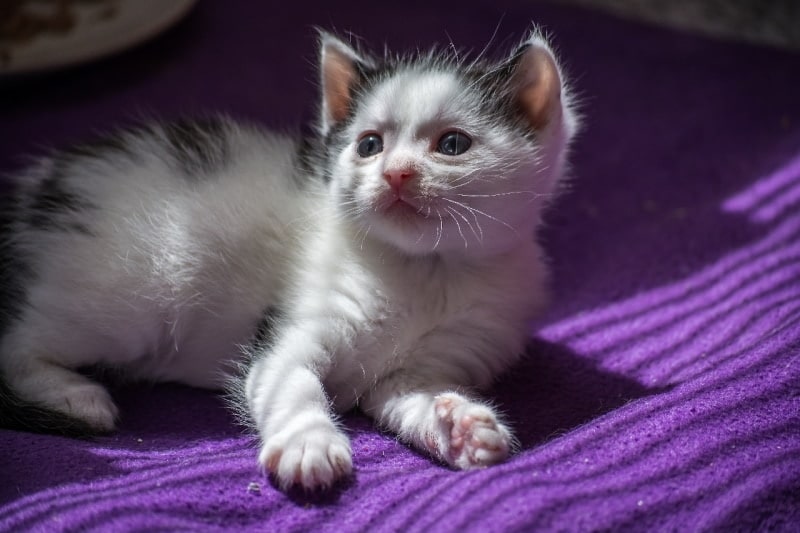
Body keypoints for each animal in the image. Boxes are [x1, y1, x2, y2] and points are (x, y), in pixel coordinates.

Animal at [0, 29, 576, 490]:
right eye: (369, 145)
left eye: (452, 144)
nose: (396, 174)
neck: (425, 270)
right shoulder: (288, 329)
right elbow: (291, 381)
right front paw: (309, 444)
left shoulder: (435, 360)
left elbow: (409, 396)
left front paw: (458, 427)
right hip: (130, 295)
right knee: (16, 343)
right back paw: (76, 396)